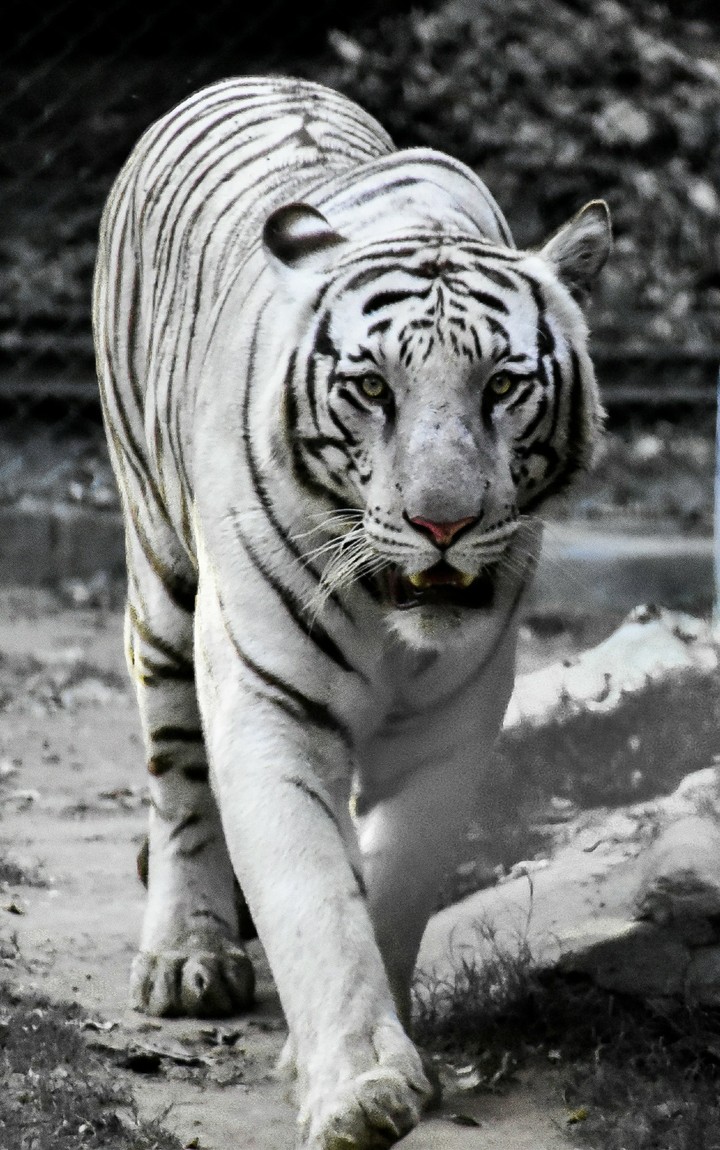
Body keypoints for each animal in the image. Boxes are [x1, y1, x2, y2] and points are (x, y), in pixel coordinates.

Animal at [92, 75, 611, 1148]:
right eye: (371, 388)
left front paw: (351, 1050)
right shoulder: (268, 703)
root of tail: (253, 77)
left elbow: (396, 877)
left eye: (503, 386)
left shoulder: (459, 715)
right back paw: (188, 959)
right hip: (160, 582)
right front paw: (359, 1087)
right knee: (178, 779)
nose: (443, 523)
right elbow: (311, 895)